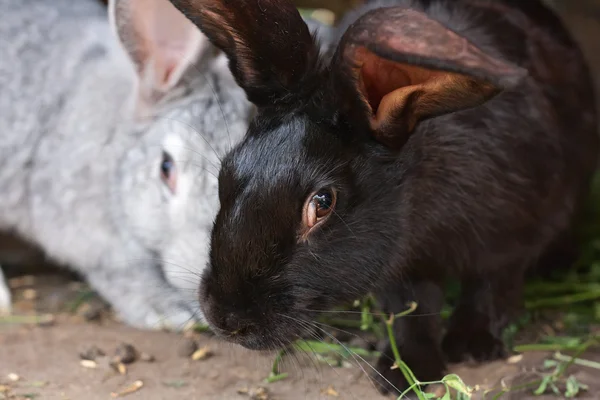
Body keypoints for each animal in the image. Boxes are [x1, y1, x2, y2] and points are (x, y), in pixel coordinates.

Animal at [168, 0, 596, 394]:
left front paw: (472, 347)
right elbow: (410, 312)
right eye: (226, 172)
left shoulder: (511, 238)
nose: (226, 319)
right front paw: (402, 373)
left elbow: (490, 289)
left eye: (322, 203)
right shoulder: (400, 266)